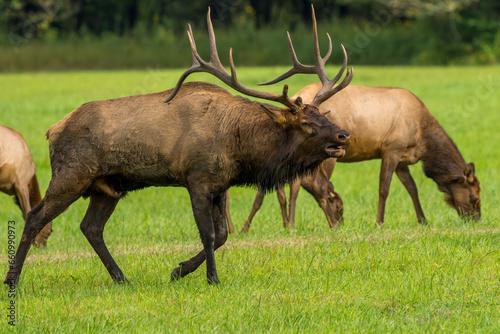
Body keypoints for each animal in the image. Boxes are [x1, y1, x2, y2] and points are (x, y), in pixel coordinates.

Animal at [5, 5, 354, 288]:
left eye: (322, 114)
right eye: (306, 123)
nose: (343, 136)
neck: (242, 147)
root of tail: (52, 130)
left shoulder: (221, 184)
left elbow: (223, 233)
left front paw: (178, 270)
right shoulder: (197, 178)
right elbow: (209, 233)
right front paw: (212, 279)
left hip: (108, 187)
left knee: (90, 227)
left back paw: (122, 279)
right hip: (72, 174)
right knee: (35, 216)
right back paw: (12, 280)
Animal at [238, 83, 480, 230]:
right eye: (475, 197)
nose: (476, 219)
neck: (423, 138)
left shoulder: (401, 158)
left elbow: (412, 187)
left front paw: (423, 221)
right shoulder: (391, 149)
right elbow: (384, 188)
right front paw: (379, 223)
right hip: (327, 155)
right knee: (306, 185)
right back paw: (299, 224)